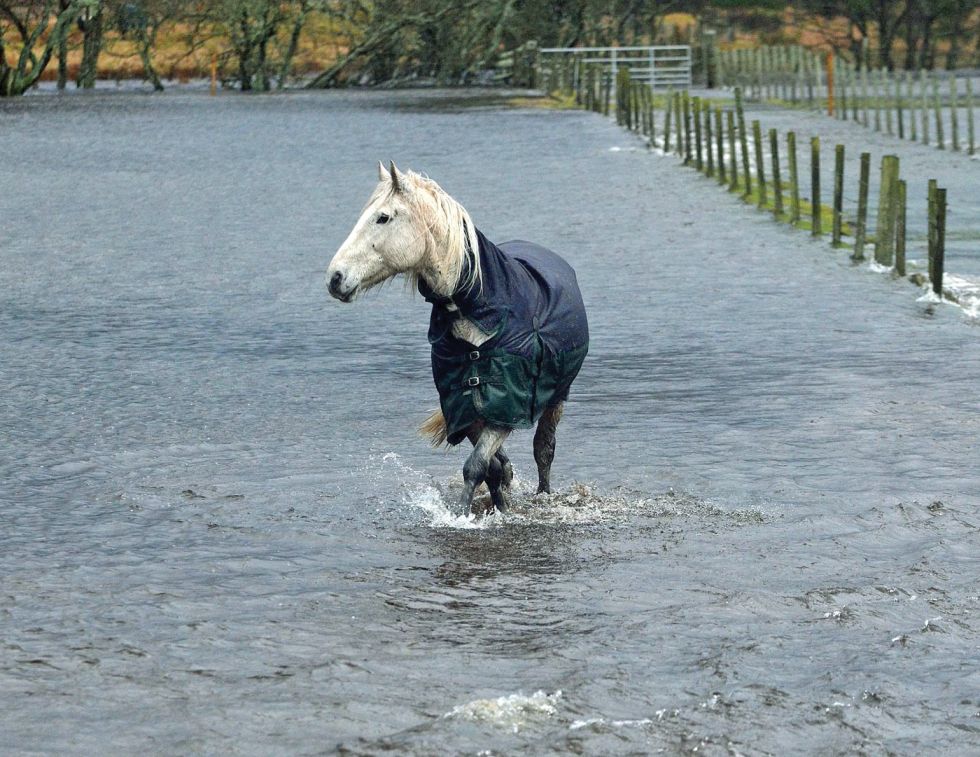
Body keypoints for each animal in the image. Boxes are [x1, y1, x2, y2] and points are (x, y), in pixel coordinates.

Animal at [326, 162, 589, 518]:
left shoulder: (504, 408)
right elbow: (492, 467)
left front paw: (462, 516)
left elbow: (476, 465)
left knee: (543, 449)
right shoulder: (465, 408)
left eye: (383, 218)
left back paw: (543, 495)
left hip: (557, 396)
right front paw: (499, 507)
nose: (335, 278)